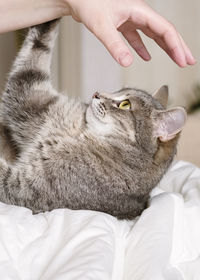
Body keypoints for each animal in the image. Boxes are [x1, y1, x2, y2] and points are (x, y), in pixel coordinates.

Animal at [0, 20, 186, 220]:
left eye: (125, 104)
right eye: (119, 90)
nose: (96, 93)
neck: (82, 131)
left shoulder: (24, 188)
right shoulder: (31, 101)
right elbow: (36, 50)